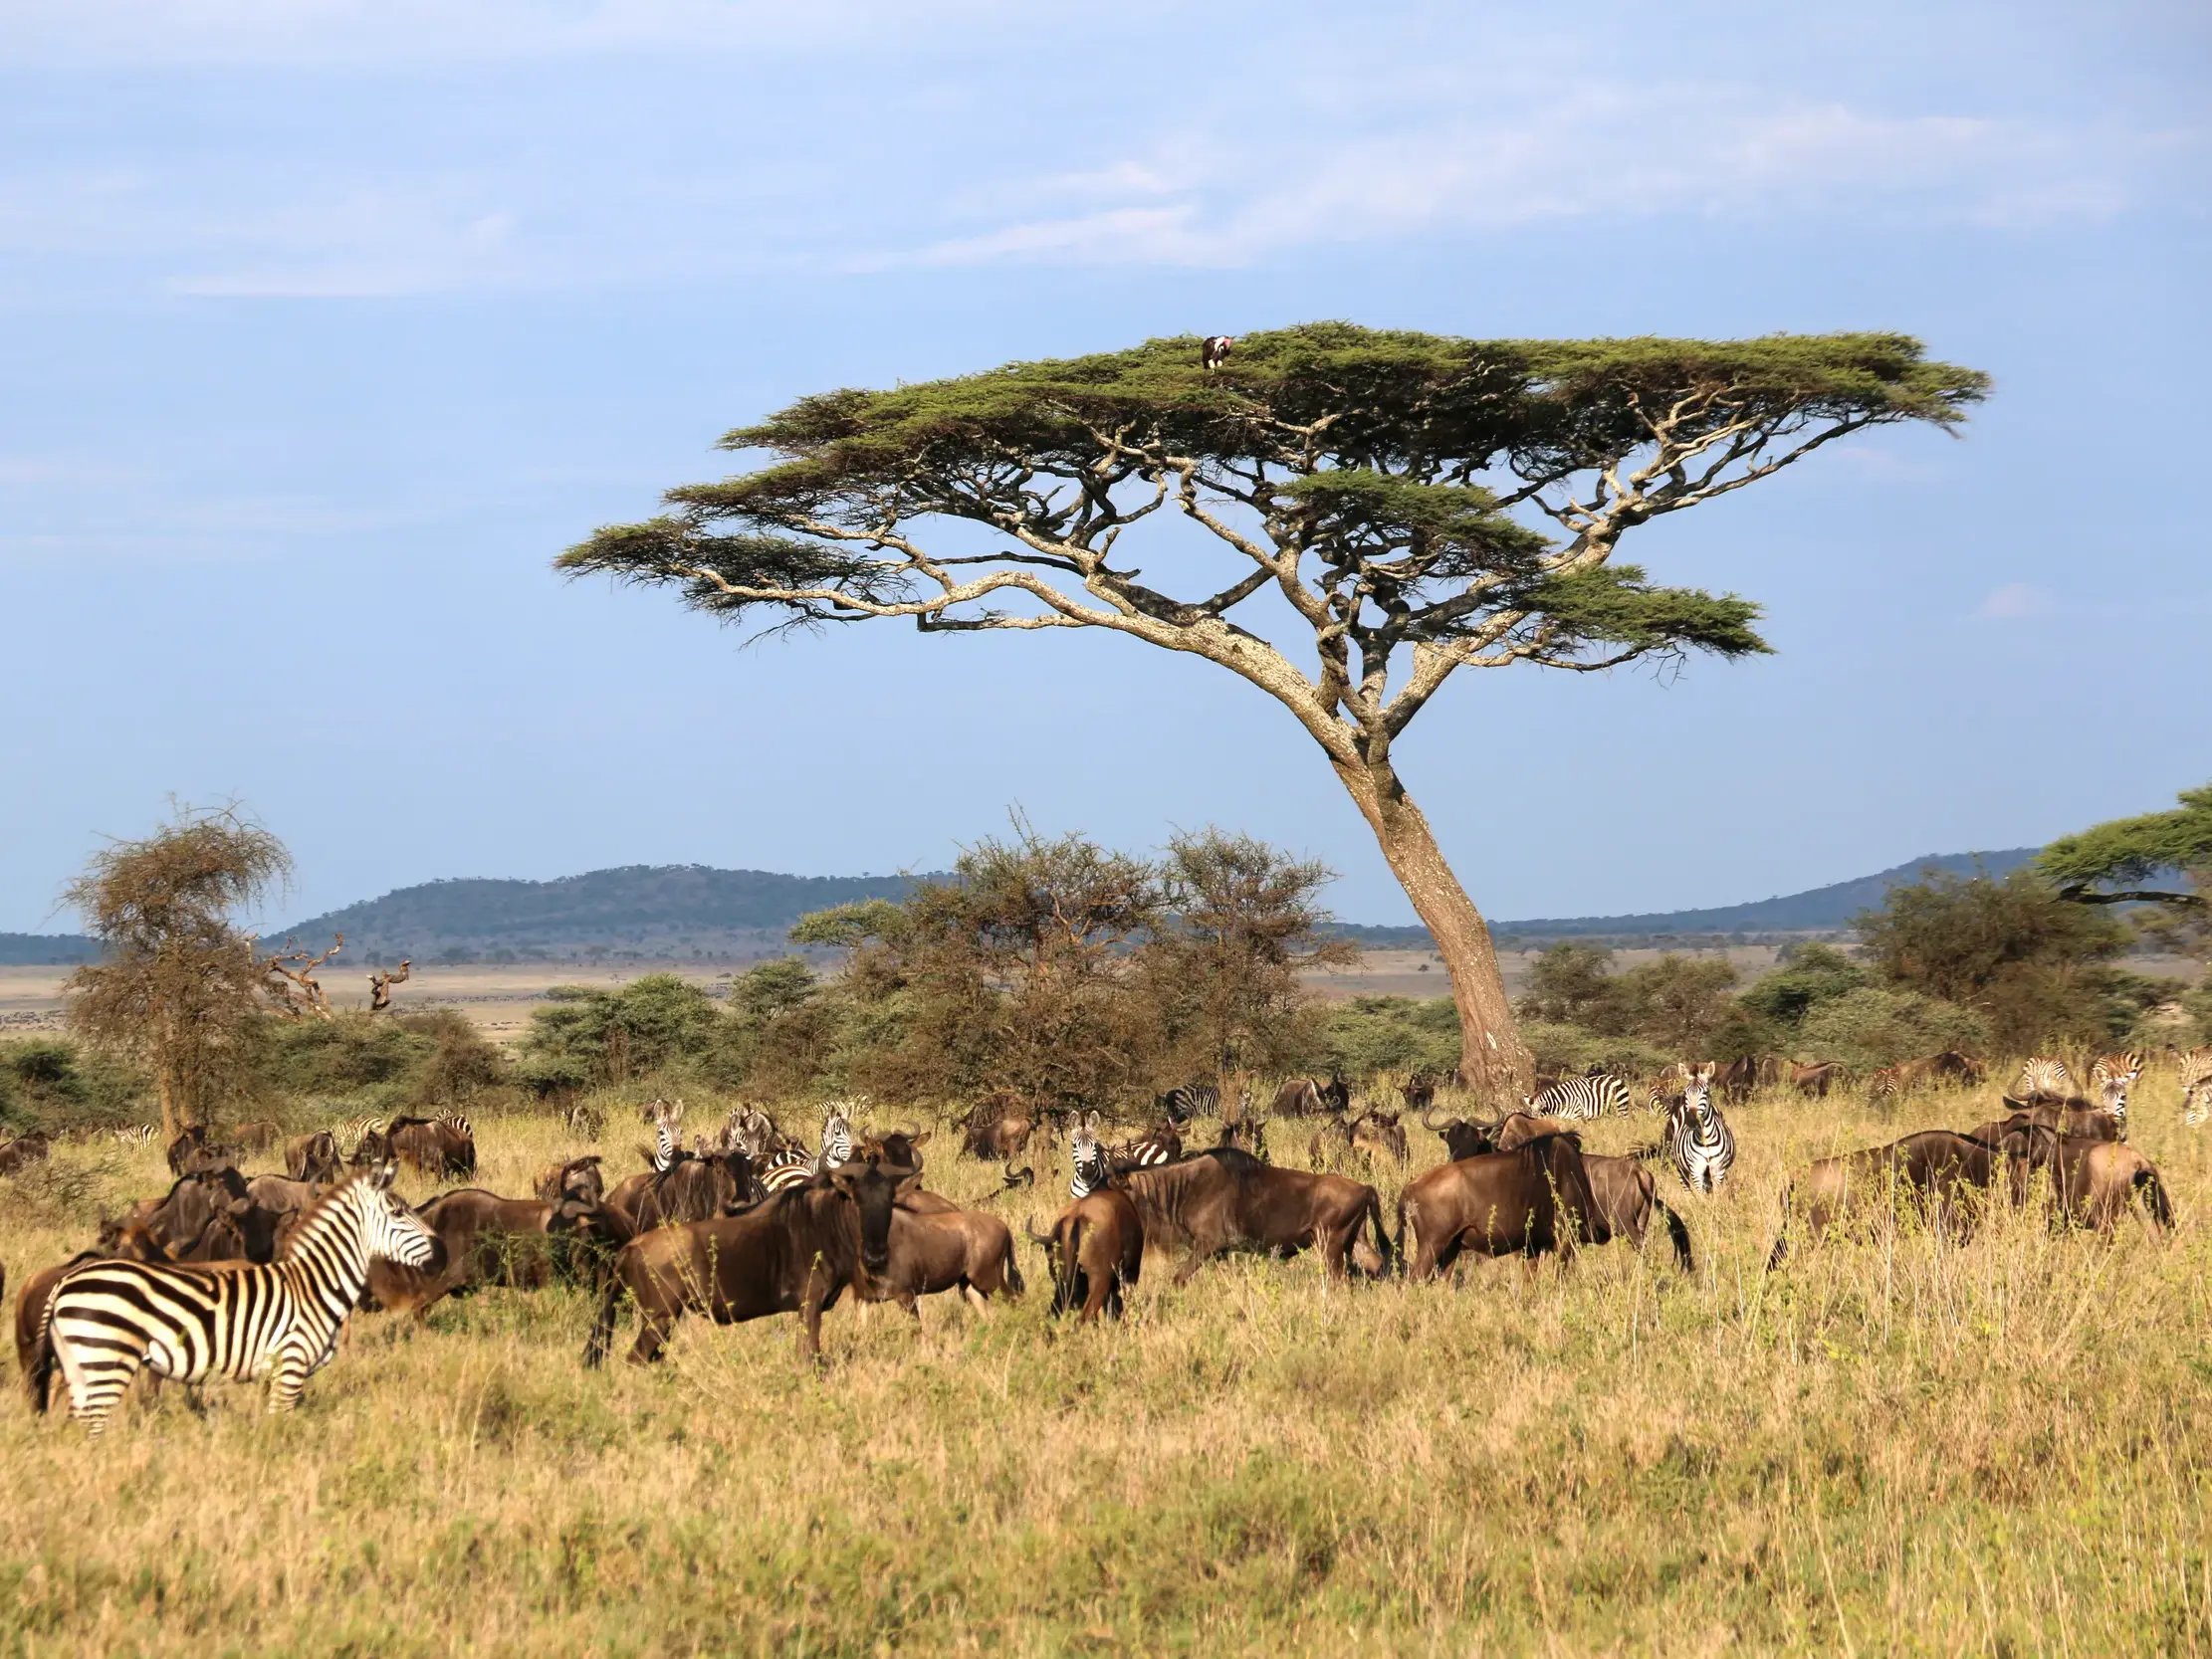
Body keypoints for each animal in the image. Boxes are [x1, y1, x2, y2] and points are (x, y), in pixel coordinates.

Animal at [36, 1172, 439, 1436]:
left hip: (79, 1367)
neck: (313, 1283)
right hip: (106, 1361)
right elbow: (280, 1429)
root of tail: (63, 1284)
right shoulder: (290, 1363)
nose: (441, 1251)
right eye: (398, 1214)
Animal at [1665, 1062, 1736, 1196]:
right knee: (1687, 1190)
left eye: (1706, 1092)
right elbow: (1701, 1195)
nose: (1691, 1121)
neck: (1706, 1139)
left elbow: (1717, 1196)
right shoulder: (1696, 1170)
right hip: (1680, 1167)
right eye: (1685, 1093)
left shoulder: (1718, 1170)